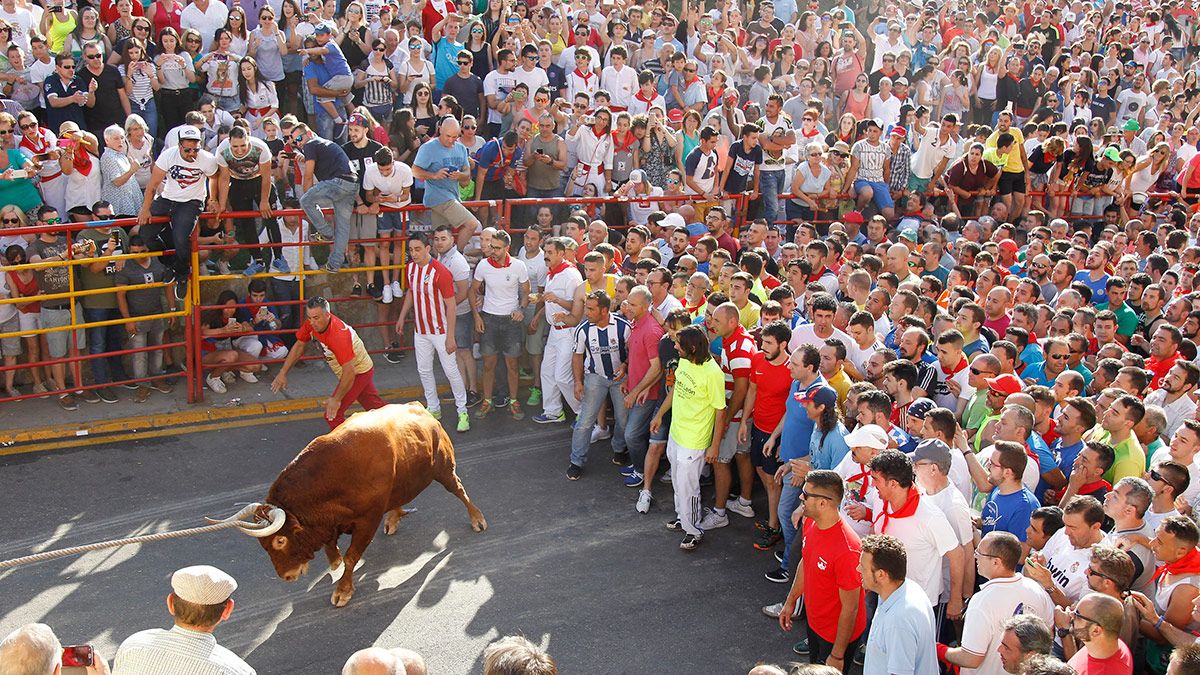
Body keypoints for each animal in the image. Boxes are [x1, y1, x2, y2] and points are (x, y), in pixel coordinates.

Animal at [223, 398, 484, 605]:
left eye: (280, 540)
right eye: (263, 544)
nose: (286, 576)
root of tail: (420, 409)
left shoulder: (367, 521)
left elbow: (351, 557)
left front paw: (343, 591)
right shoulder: (331, 522)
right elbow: (332, 547)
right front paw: (334, 561)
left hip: (444, 468)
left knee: (459, 490)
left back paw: (477, 519)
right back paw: (394, 518)